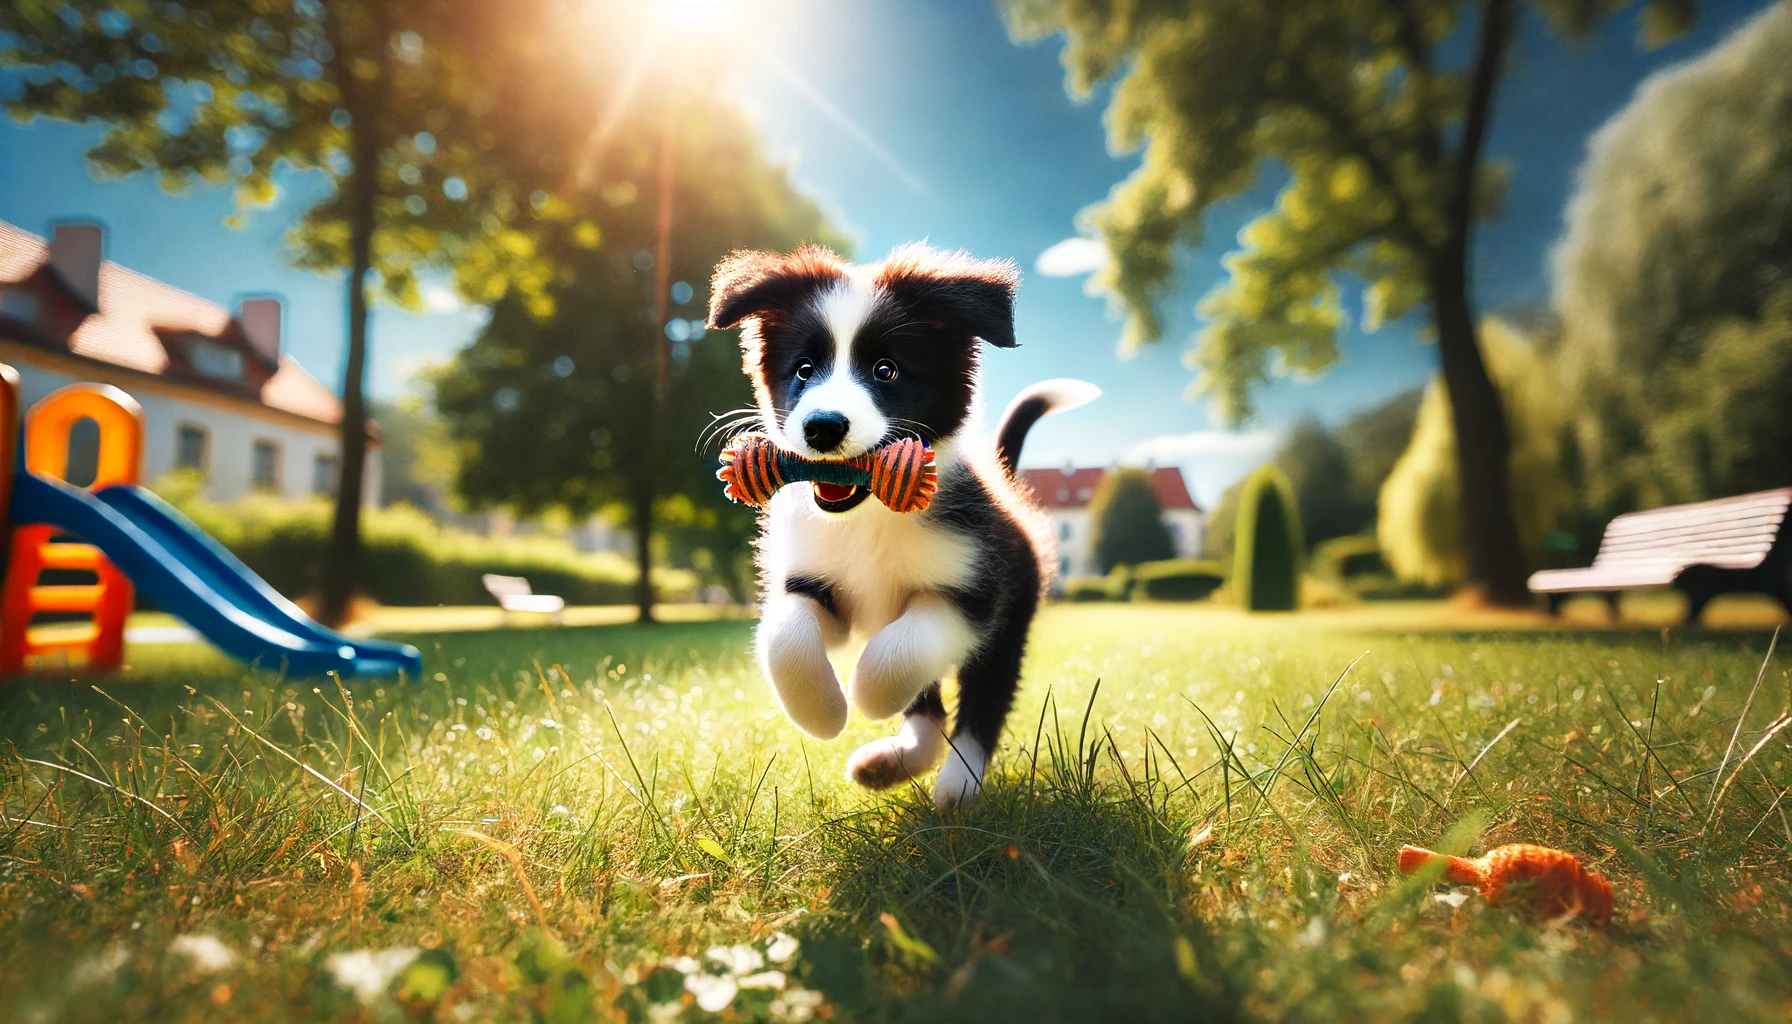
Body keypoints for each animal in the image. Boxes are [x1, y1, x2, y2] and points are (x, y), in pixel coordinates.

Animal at [706, 242, 1096, 810]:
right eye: (804, 369)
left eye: (886, 370)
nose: (822, 427)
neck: (870, 519)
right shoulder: (816, 582)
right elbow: (787, 638)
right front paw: (823, 712)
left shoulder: (974, 593)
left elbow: (901, 650)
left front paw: (868, 695)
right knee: (930, 707)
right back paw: (895, 760)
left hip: (1011, 619)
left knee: (982, 700)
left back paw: (958, 783)